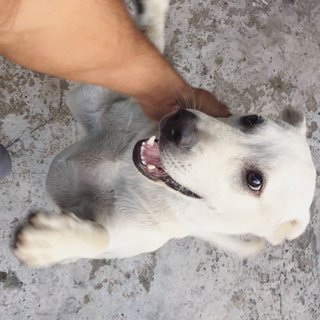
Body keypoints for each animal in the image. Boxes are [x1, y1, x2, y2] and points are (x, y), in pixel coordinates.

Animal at [14, 0, 316, 268]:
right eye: (252, 119)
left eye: (255, 181)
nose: (178, 125)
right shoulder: (95, 97)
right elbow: (144, 49)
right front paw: (154, 12)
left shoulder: (122, 238)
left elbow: (101, 237)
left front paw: (50, 242)